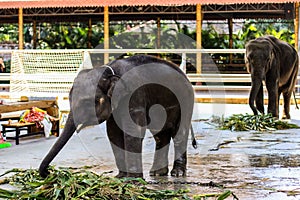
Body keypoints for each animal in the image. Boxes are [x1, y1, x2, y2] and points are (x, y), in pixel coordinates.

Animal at [38, 54, 195, 178]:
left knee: (179, 133)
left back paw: (177, 174)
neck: (109, 71)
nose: (48, 172)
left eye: (90, 102)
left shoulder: (134, 96)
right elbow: (113, 133)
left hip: (186, 99)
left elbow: (133, 131)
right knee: (160, 135)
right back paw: (157, 173)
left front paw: (133, 180)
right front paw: (120, 177)